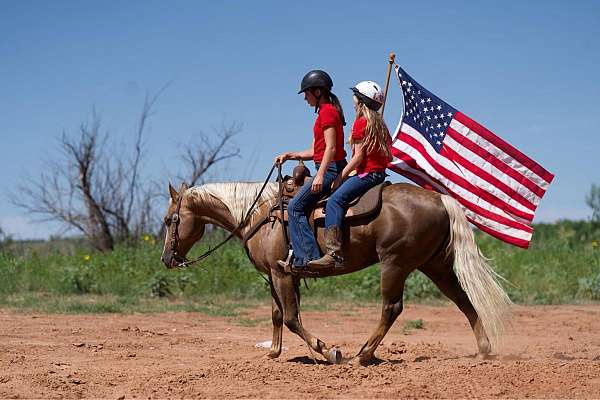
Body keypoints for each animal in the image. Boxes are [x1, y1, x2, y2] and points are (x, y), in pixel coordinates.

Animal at [161, 180, 510, 364]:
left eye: (168, 220)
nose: (166, 258)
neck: (260, 215)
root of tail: (441, 199)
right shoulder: (275, 275)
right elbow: (277, 314)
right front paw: (273, 352)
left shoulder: (282, 275)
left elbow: (292, 318)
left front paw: (328, 350)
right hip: (436, 265)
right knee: (463, 301)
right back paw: (484, 350)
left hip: (395, 264)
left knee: (391, 308)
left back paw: (363, 355)